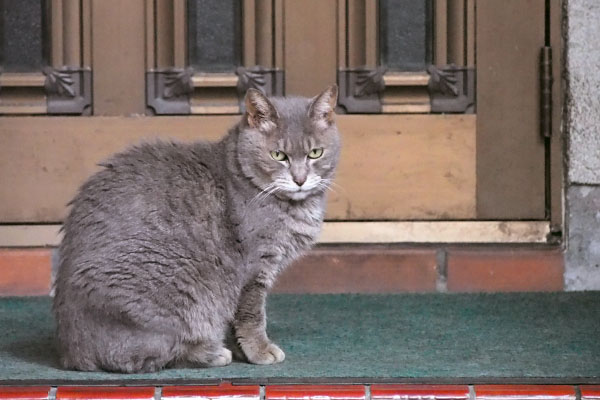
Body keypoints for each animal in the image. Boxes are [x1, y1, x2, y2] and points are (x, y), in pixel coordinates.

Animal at [53, 86, 340, 374]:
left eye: (315, 153)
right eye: (278, 155)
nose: (300, 179)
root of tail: (72, 351)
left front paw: (242, 349)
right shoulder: (255, 267)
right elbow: (252, 315)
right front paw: (259, 351)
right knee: (142, 355)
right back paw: (210, 352)